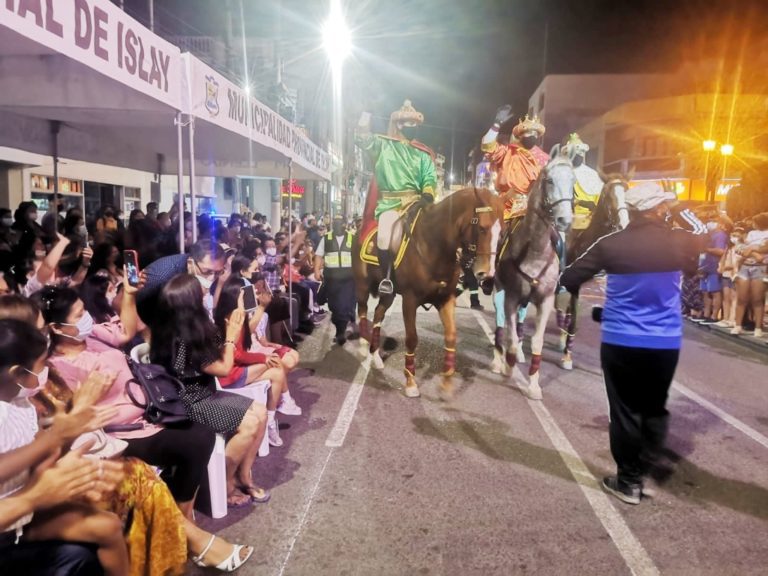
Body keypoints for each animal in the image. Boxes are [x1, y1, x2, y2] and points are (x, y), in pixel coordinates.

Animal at [354, 189, 504, 400]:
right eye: (482, 228)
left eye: (502, 233)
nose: (488, 274)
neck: (434, 246)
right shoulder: (409, 300)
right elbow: (411, 339)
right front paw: (410, 382)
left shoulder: (446, 300)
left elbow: (451, 336)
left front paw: (447, 383)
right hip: (362, 286)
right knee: (362, 311)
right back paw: (362, 345)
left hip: (389, 295)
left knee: (378, 315)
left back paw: (375, 356)